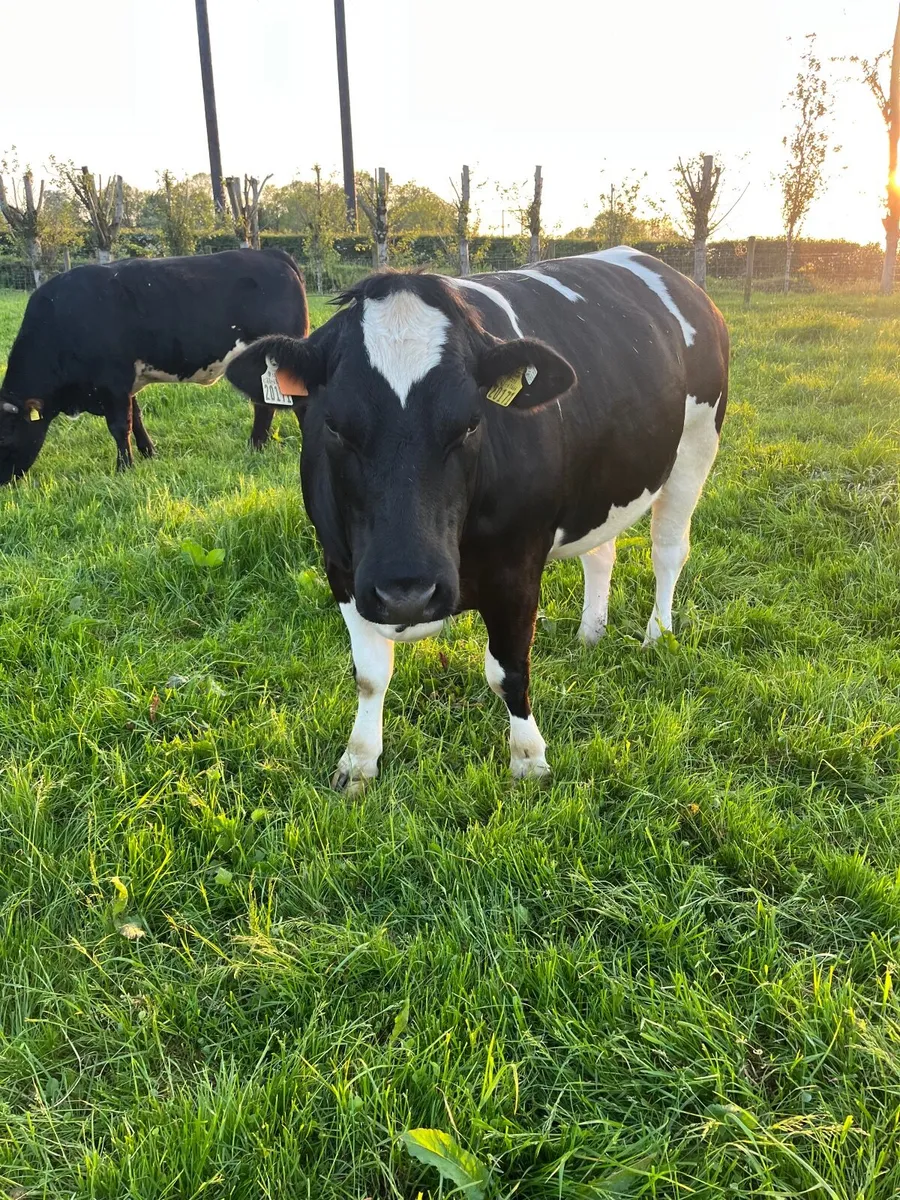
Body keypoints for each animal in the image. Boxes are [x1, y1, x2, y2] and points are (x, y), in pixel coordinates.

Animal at [0, 247, 308, 483]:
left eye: (4, 439)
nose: (4, 483)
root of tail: (269, 253)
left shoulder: (113, 382)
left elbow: (119, 426)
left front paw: (124, 467)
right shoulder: (125, 384)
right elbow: (136, 418)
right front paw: (149, 453)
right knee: (264, 406)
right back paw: (257, 446)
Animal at [226, 248, 729, 790]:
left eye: (470, 424)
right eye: (334, 426)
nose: (407, 592)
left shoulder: (518, 569)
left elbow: (509, 670)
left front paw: (529, 759)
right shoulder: (342, 569)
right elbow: (369, 674)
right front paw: (359, 761)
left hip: (697, 445)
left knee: (668, 550)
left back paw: (657, 636)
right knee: (601, 551)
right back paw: (590, 633)